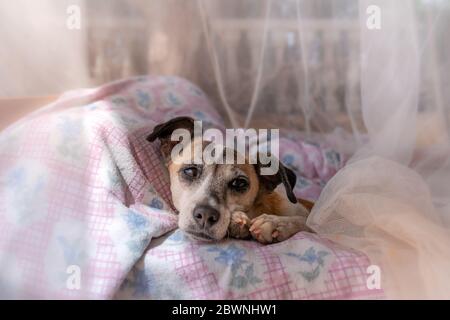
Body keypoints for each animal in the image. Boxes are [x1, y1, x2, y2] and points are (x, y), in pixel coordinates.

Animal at [148, 117, 312, 245]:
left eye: (239, 183)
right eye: (191, 171)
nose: (206, 215)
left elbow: (306, 223)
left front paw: (275, 223)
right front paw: (237, 220)